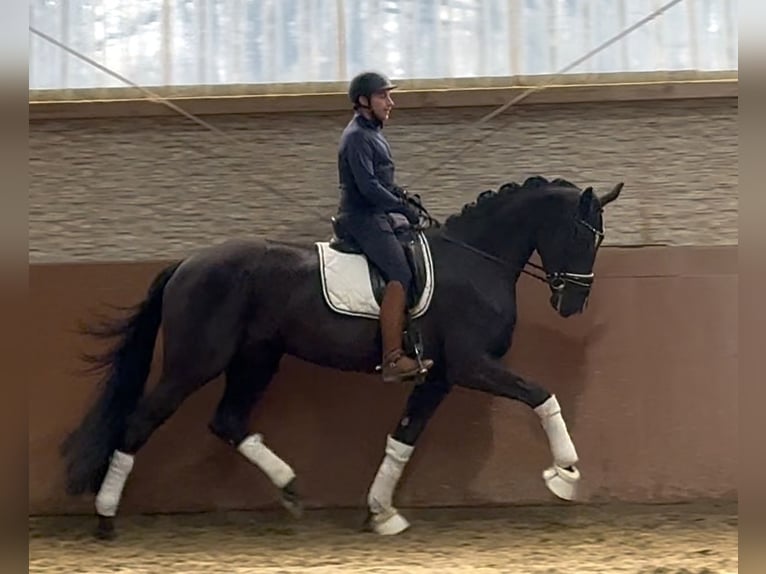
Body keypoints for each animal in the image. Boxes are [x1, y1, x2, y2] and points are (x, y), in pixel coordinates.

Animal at [60, 176, 624, 540]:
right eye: (580, 234)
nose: (573, 304)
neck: (475, 260)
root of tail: (187, 263)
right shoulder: (470, 365)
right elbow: (541, 394)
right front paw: (565, 475)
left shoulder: (440, 376)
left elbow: (403, 437)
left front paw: (381, 512)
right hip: (195, 362)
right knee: (140, 421)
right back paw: (106, 518)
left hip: (257, 359)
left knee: (228, 420)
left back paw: (290, 488)